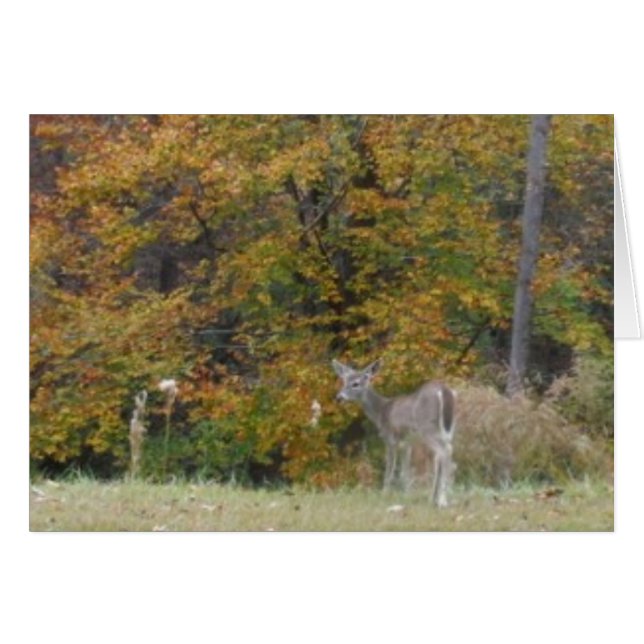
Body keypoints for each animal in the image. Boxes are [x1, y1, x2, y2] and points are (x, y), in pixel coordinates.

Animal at [332, 359, 456, 507]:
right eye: (343, 381)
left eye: (356, 383)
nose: (339, 397)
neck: (381, 412)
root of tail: (443, 391)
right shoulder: (407, 443)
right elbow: (405, 472)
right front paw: (407, 495)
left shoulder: (390, 438)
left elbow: (389, 470)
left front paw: (384, 494)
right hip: (447, 430)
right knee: (442, 455)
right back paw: (433, 498)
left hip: (427, 427)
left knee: (445, 451)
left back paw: (442, 499)